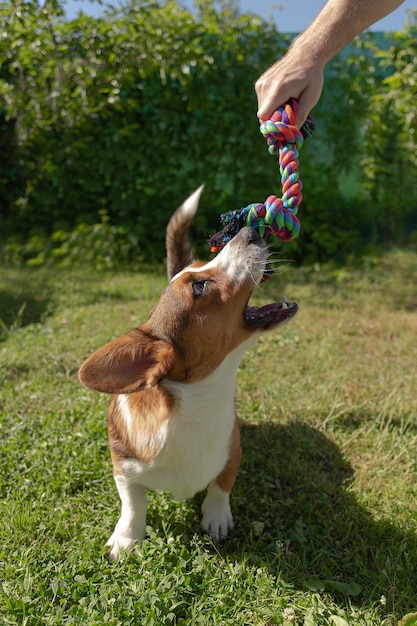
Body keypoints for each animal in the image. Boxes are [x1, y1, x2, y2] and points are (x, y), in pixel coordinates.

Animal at [79, 185, 296, 560]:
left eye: (200, 267)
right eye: (199, 286)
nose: (250, 231)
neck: (197, 405)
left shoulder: (232, 451)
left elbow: (221, 486)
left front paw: (216, 517)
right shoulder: (123, 467)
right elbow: (133, 503)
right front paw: (127, 537)